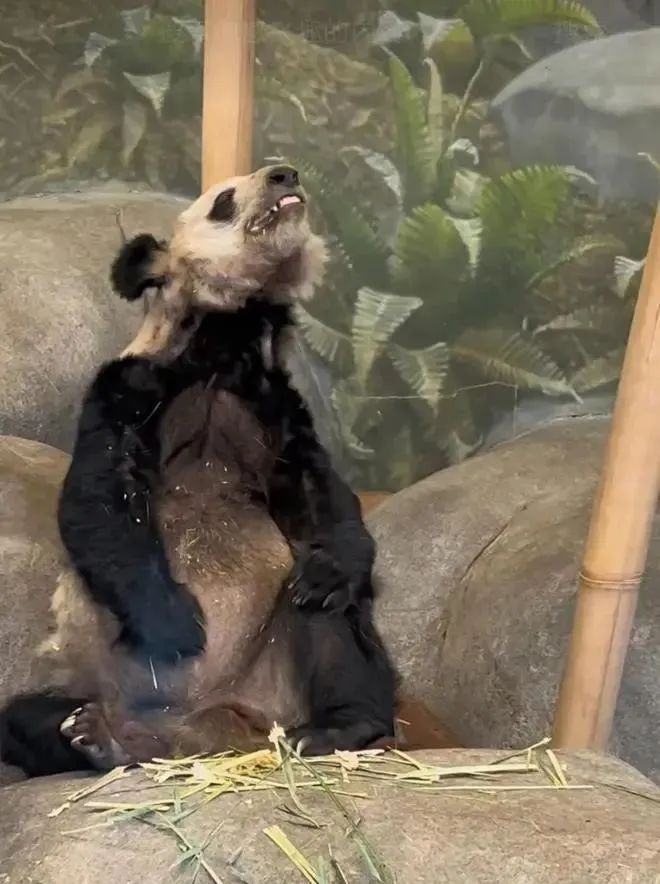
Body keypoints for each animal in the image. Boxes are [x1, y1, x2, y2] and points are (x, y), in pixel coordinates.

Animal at [0, 164, 397, 776]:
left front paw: (334, 565)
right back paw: (96, 736)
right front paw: (177, 625)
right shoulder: (131, 386)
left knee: (335, 625)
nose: (284, 173)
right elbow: (99, 502)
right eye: (224, 200)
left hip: (280, 654)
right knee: (25, 719)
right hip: (95, 673)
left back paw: (338, 725)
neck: (225, 339)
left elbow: (319, 489)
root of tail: (208, 725)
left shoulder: (273, 404)